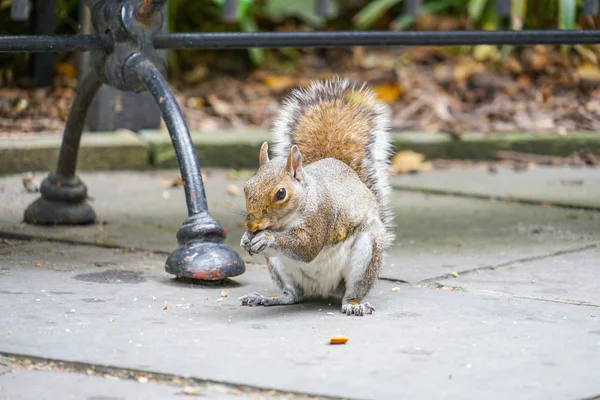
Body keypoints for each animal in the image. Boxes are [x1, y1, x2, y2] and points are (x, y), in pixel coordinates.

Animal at [239, 77, 394, 316]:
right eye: (247, 187)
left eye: (281, 193)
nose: (251, 226)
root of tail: (323, 289)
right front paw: (245, 238)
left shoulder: (322, 214)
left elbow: (307, 247)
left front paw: (267, 238)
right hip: (278, 265)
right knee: (293, 295)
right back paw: (266, 299)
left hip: (367, 254)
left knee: (351, 292)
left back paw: (354, 305)